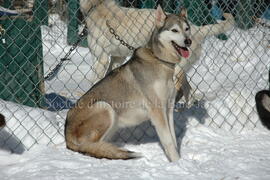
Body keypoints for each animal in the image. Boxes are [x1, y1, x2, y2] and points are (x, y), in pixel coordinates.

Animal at [65, 6, 192, 162]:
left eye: (187, 28)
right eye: (174, 30)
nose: (188, 41)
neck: (159, 60)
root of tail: (66, 134)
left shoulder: (168, 109)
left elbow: (173, 139)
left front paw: (178, 161)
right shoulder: (157, 112)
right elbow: (168, 141)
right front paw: (175, 162)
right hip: (104, 106)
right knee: (90, 146)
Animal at [79, 0, 234, 105]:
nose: (187, 41)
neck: (97, 5)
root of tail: (196, 29)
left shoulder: (101, 58)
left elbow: (94, 83)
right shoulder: (117, 58)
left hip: (173, 71)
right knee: (188, 92)